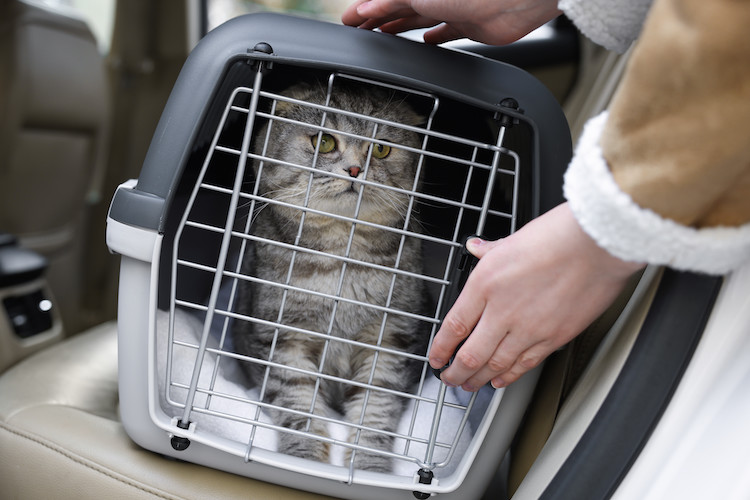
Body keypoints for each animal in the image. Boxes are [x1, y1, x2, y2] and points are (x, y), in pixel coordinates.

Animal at [235, 82, 432, 472]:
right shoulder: (283, 338)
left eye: (382, 148)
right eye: (324, 142)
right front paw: (304, 457)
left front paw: (370, 468)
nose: (355, 169)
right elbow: (298, 406)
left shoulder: (390, 339)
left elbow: (376, 411)